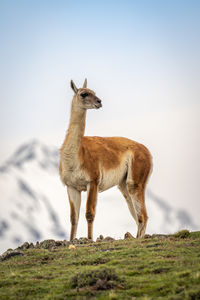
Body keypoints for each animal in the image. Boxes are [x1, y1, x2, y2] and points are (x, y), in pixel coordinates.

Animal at [58, 79, 152, 241]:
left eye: (94, 92)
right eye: (84, 94)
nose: (99, 101)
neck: (76, 157)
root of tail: (147, 151)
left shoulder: (93, 181)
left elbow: (89, 214)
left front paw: (89, 240)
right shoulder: (71, 186)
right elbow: (73, 218)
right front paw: (71, 241)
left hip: (136, 179)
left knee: (143, 216)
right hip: (124, 185)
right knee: (137, 216)